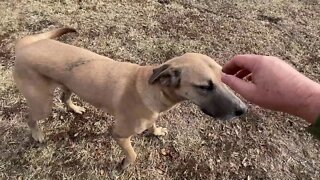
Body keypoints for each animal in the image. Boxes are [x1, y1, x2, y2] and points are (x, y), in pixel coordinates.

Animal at [13, 27, 248, 169]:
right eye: (204, 87)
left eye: (224, 79)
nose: (243, 109)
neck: (153, 88)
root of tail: (25, 45)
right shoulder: (119, 135)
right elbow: (133, 154)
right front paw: (125, 165)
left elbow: (153, 125)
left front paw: (156, 131)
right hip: (42, 104)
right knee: (30, 117)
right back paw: (37, 134)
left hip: (68, 84)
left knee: (64, 97)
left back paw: (75, 108)